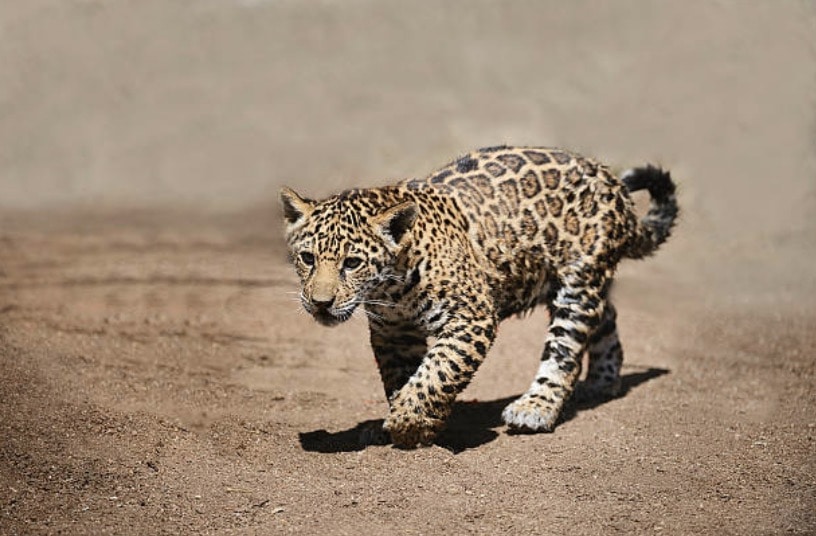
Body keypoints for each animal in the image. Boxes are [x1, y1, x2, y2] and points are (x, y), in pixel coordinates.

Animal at [280, 145, 678, 448]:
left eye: (352, 263)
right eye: (307, 258)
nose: (320, 303)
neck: (389, 287)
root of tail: (612, 182)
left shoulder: (471, 319)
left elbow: (437, 372)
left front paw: (408, 423)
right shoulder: (393, 333)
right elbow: (402, 378)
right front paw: (412, 422)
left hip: (577, 282)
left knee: (565, 349)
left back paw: (536, 407)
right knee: (606, 317)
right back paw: (602, 381)